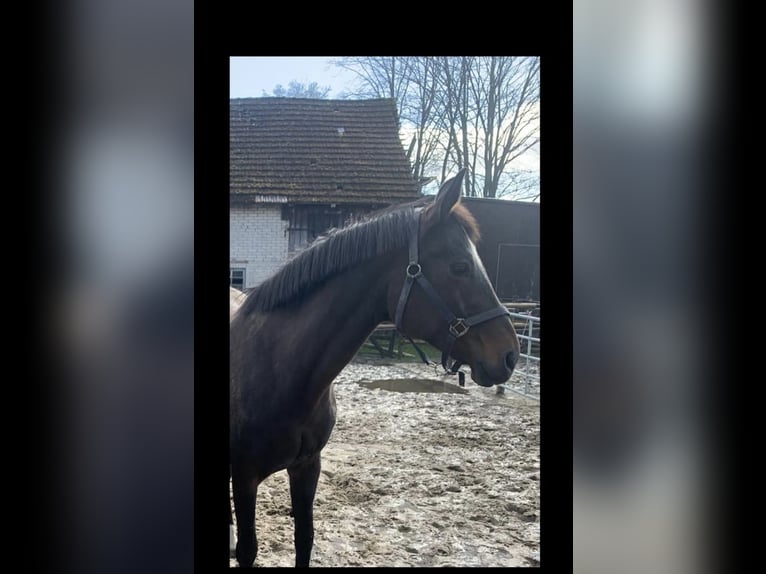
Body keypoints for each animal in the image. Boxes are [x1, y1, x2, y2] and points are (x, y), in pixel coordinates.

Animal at [230, 170, 520, 568]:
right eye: (460, 266)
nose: (509, 355)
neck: (277, 366)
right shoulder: (244, 477)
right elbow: (248, 549)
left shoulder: (307, 466)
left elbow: (304, 538)